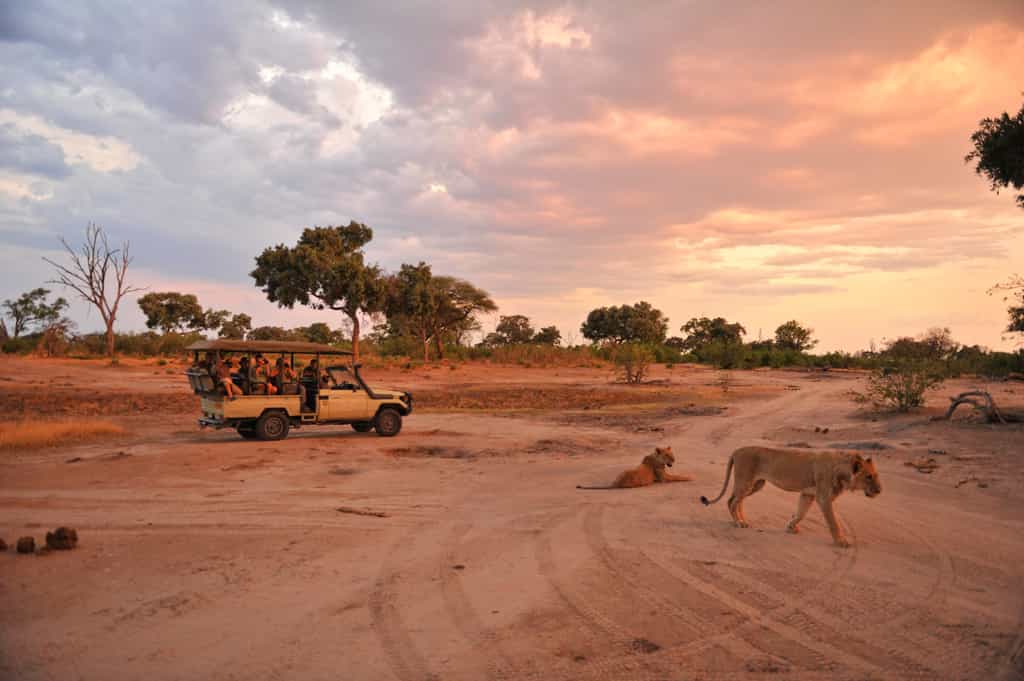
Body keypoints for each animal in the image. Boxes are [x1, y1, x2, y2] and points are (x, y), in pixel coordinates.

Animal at [699, 446, 882, 547]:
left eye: (876, 475)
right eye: (869, 477)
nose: (880, 491)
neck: (842, 471)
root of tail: (737, 450)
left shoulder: (808, 494)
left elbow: (801, 513)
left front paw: (790, 527)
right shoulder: (823, 498)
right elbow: (833, 522)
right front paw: (841, 541)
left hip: (756, 484)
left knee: (738, 500)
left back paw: (742, 520)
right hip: (746, 482)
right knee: (731, 501)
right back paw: (738, 522)